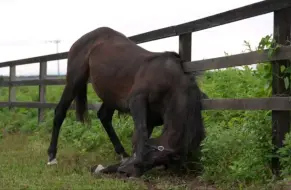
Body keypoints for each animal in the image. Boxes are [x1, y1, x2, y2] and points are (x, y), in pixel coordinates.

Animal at [46, 27, 205, 177]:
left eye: (155, 163)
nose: (125, 172)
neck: (170, 79)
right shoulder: (137, 100)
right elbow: (141, 133)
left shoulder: (151, 118)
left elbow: (139, 139)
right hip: (74, 81)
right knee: (60, 112)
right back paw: (52, 157)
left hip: (110, 95)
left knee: (104, 116)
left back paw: (122, 154)